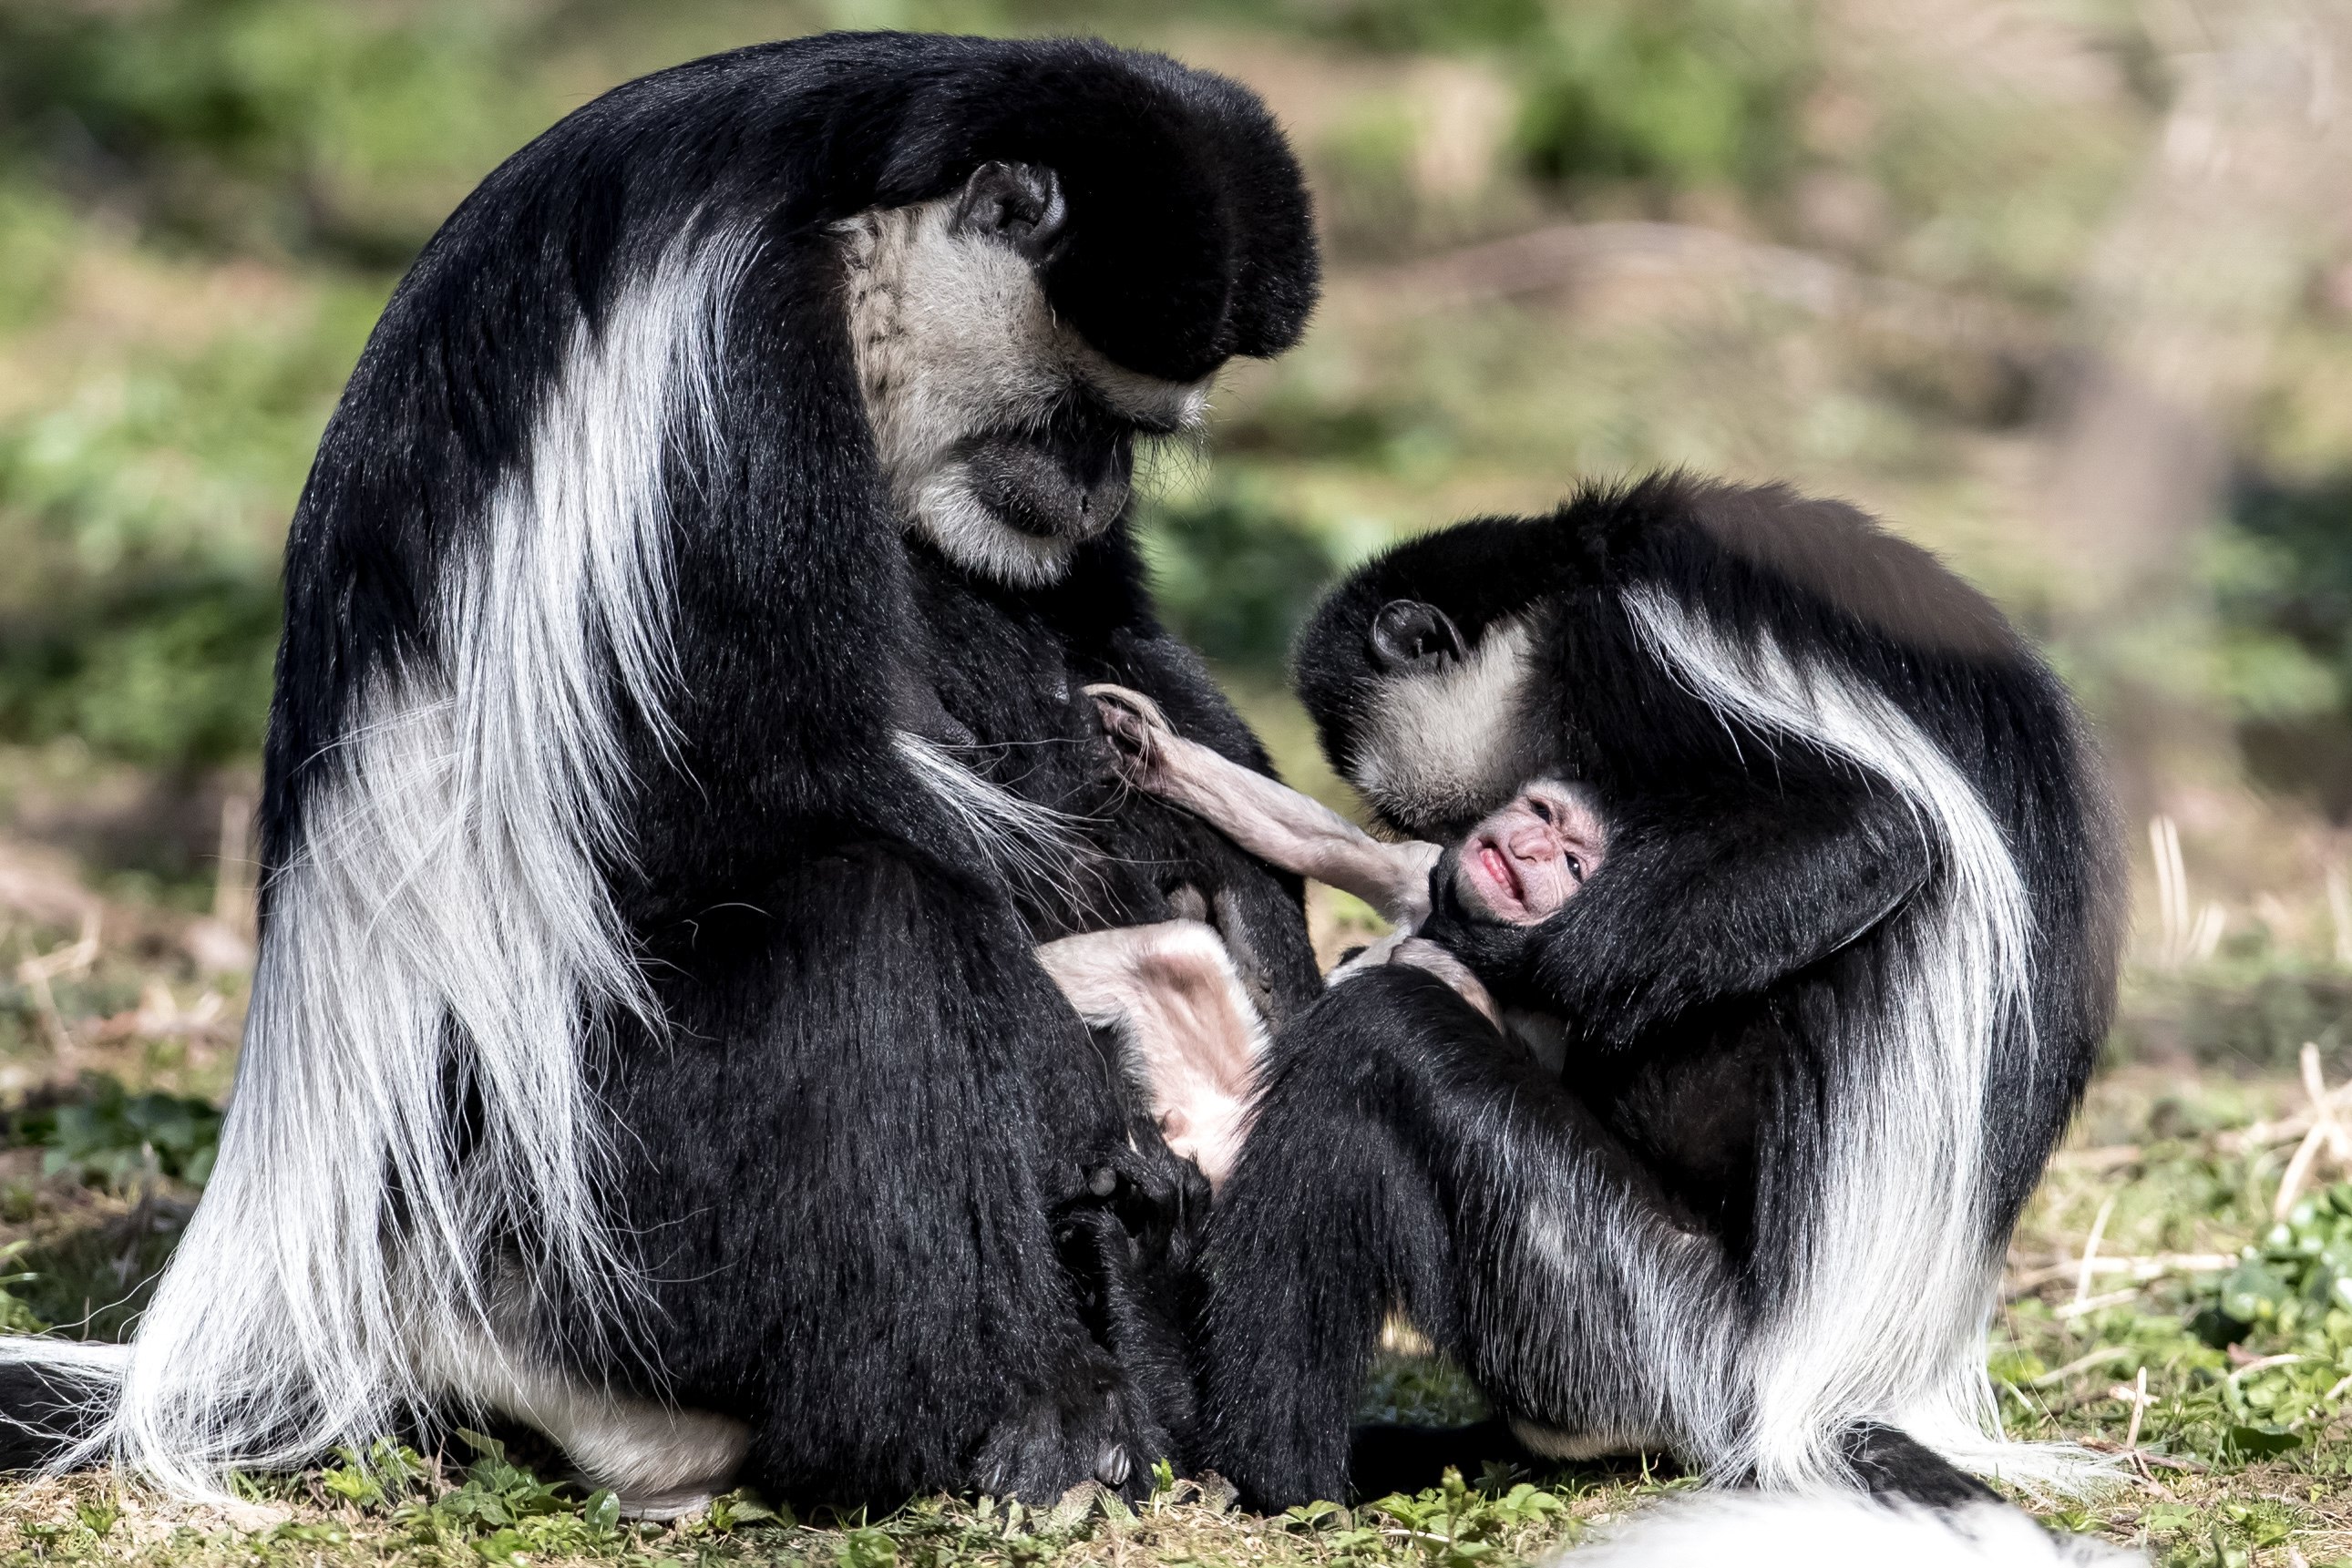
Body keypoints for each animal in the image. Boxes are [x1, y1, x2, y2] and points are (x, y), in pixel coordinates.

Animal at [0, 34, 1326, 1504]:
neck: (852, 216)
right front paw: (1114, 1073)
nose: (1096, 489)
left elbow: (1101, 637)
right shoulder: (736, 365)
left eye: (1131, 436)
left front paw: (1249, 901)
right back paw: (1026, 1415)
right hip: (582, 1202)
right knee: (868, 924)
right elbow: (766, 778)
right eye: (1073, 410)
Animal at [1095, 475, 2116, 1504]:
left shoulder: (1637, 649)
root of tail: (1828, 1391)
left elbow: (1865, 830)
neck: (1567, 578)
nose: (1483, 847)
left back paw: (1258, 1470)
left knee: (1377, 1044)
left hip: (1632, 1317)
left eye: (1536, 821)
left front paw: (1454, 947)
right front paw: (1169, 760)